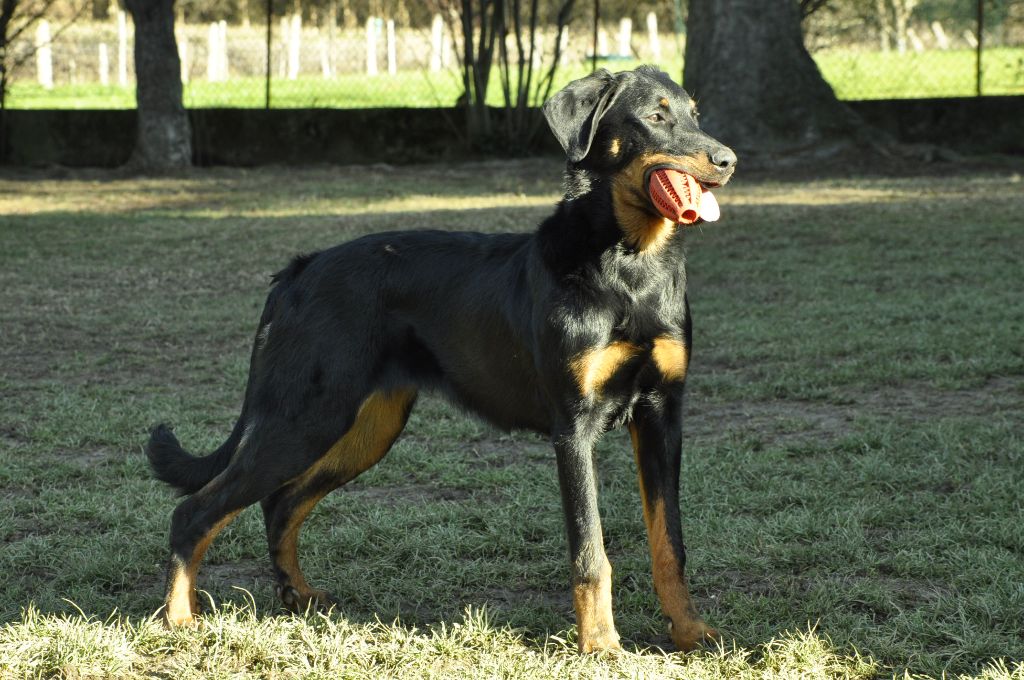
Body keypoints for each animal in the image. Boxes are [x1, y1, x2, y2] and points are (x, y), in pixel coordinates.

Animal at [146, 65, 736, 653]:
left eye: (695, 114)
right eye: (655, 116)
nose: (728, 160)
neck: (631, 268)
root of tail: (299, 270)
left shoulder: (661, 415)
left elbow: (669, 542)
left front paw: (690, 631)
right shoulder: (574, 428)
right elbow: (591, 552)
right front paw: (601, 645)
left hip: (364, 429)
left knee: (280, 505)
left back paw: (299, 596)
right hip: (302, 420)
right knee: (195, 511)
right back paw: (179, 618)